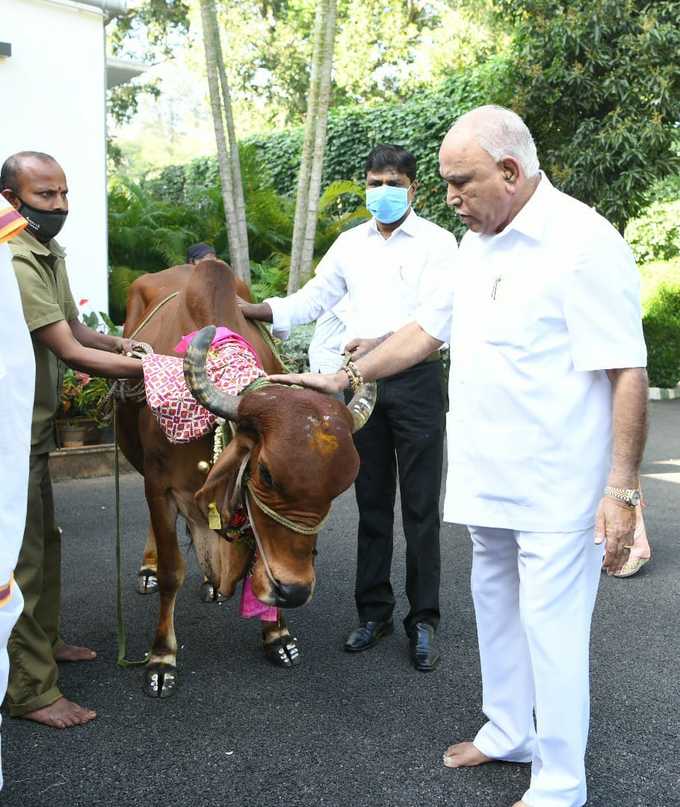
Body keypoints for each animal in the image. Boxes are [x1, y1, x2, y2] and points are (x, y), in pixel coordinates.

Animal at [117, 260, 372, 700]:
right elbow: (171, 573)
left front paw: (277, 635)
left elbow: (257, 560)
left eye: (340, 490)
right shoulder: (160, 486)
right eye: (266, 473)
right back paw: (149, 569)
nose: (295, 591)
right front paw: (161, 658)